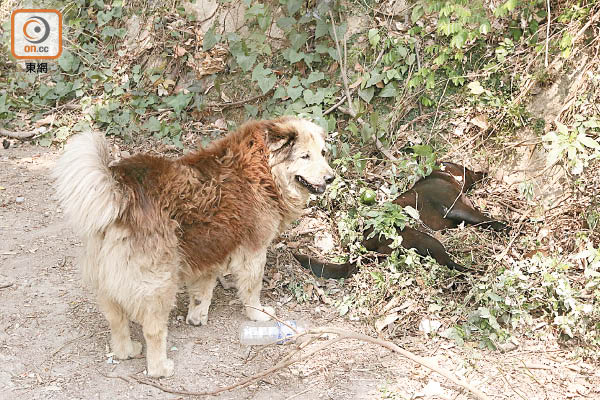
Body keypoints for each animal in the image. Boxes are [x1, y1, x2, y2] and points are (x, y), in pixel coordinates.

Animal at [53, 116, 336, 378]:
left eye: (323, 153)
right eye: (305, 156)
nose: (331, 177)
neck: (262, 167)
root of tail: (122, 191)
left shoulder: (208, 249)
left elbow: (202, 291)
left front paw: (197, 316)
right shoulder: (254, 251)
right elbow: (252, 290)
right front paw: (257, 314)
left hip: (107, 286)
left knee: (117, 322)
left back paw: (127, 351)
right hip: (159, 284)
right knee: (153, 331)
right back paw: (160, 368)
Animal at [292, 161, 508, 276]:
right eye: (468, 169)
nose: (485, 171)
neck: (441, 176)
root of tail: (364, 246)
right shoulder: (456, 207)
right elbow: (482, 218)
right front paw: (504, 225)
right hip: (427, 240)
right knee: (449, 263)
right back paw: (478, 271)